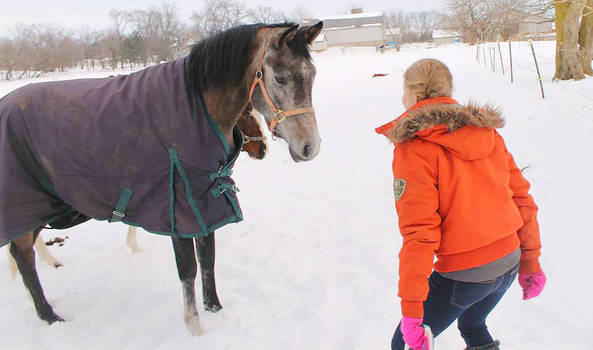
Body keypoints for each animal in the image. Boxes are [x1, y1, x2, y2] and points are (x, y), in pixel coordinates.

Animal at [1, 21, 324, 334]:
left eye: (312, 75)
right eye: (280, 78)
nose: (310, 147)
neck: (195, 108)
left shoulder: (205, 202)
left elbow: (208, 260)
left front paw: (214, 309)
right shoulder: (177, 209)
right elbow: (188, 269)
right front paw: (195, 327)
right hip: (26, 205)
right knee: (24, 257)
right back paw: (49, 315)